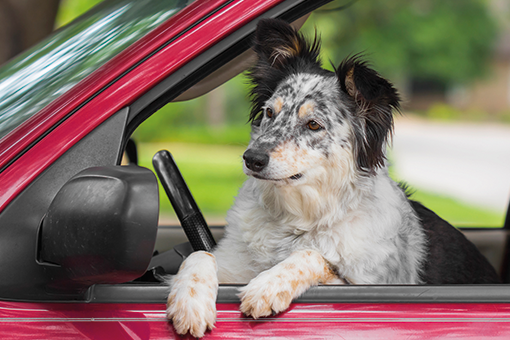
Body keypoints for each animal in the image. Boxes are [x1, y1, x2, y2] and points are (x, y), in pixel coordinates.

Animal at [165, 17, 500, 338]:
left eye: (313, 124)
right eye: (270, 113)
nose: (252, 158)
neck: (299, 219)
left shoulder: (370, 283)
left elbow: (314, 256)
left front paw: (268, 284)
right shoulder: (233, 263)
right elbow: (198, 255)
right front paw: (189, 302)